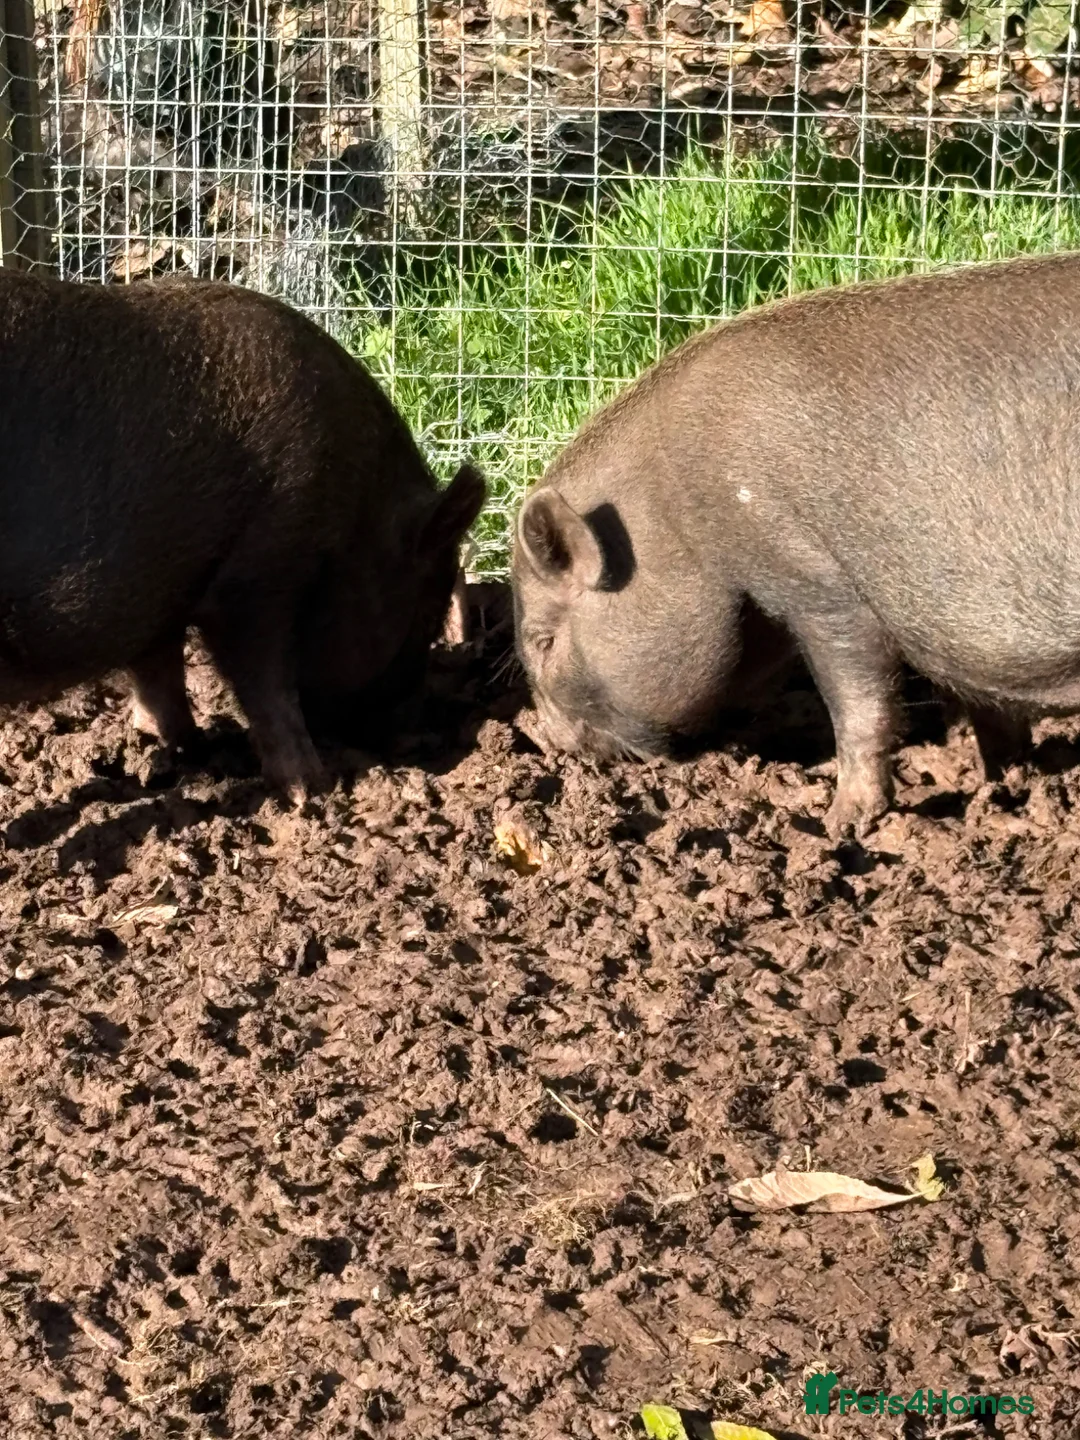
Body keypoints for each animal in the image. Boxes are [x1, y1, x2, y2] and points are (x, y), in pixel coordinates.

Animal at [0, 269, 485, 800]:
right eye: (427, 615)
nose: (418, 740)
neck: (358, 505)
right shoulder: (263, 568)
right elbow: (266, 682)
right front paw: (310, 789)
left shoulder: (164, 590)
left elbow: (159, 673)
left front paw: (185, 750)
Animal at [512, 250, 1080, 836]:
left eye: (543, 641)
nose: (542, 736)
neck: (678, 517)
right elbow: (990, 712)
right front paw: (1003, 783)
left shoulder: (815, 577)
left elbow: (858, 704)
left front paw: (840, 823)